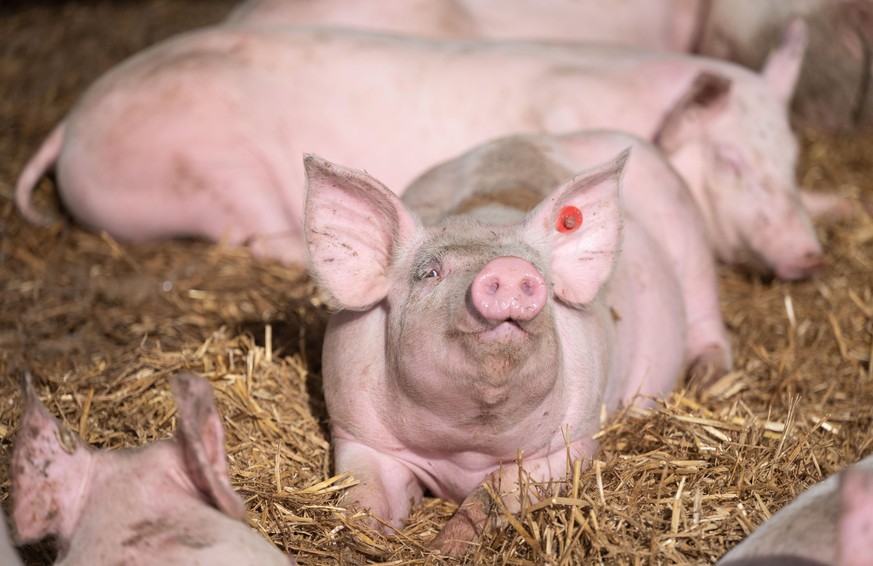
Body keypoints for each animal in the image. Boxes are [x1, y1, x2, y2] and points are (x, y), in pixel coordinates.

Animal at [17, 25, 828, 282]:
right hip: (214, 162)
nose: (811, 254)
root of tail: (70, 122)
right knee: (249, 235)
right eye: (730, 162)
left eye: (792, 157)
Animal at [304, 130, 728, 556]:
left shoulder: (567, 446)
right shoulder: (358, 434)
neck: (467, 446)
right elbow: (362, 499)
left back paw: (706, 378)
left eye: (538, 270)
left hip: (691, 237)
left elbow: (489, 497)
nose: (509, 266)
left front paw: (441, 549)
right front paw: (359, 544)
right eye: (430, 272)